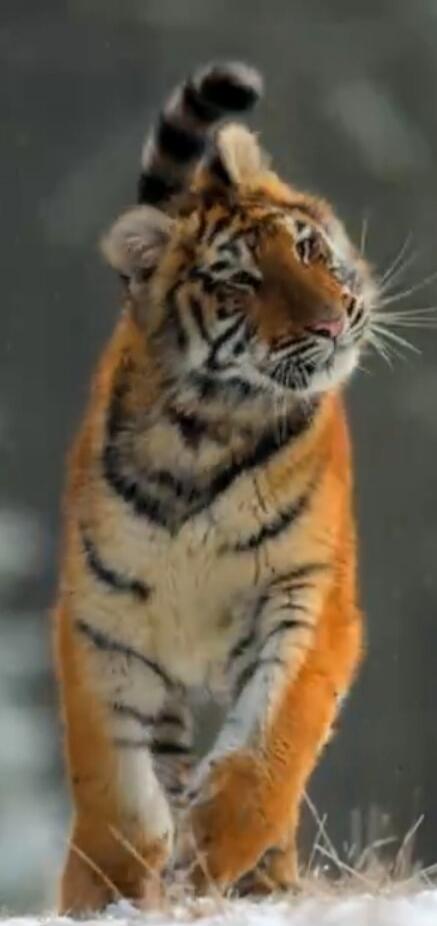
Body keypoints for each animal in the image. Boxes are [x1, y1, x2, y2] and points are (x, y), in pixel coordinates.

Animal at [54, 60, 376, 913]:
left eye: (308, 249)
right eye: (241, 282)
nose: (333, 323)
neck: (207, 428)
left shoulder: (307, 594)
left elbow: (274, 740)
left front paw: (215, 849)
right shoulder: (100, 622)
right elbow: (116, 787)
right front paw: (107, 894)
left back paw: (260, 877)